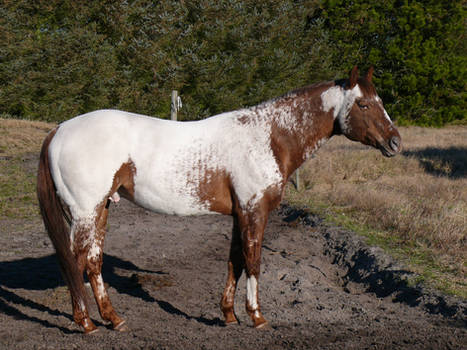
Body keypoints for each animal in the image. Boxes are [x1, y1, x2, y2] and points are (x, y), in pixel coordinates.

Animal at [37, 66, 402, 334]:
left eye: (381, 101)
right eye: (364, 105)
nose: (395, 142)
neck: (269, 137)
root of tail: (60, 129)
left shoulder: (240, 213)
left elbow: (235, 261)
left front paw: (228, 315)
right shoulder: (255, 210)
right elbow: (253, 261)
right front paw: (257, 317)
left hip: (101, 209)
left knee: (92, 262)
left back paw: (113, 319)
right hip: (85, 211)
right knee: (76, 262)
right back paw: (85, 323)